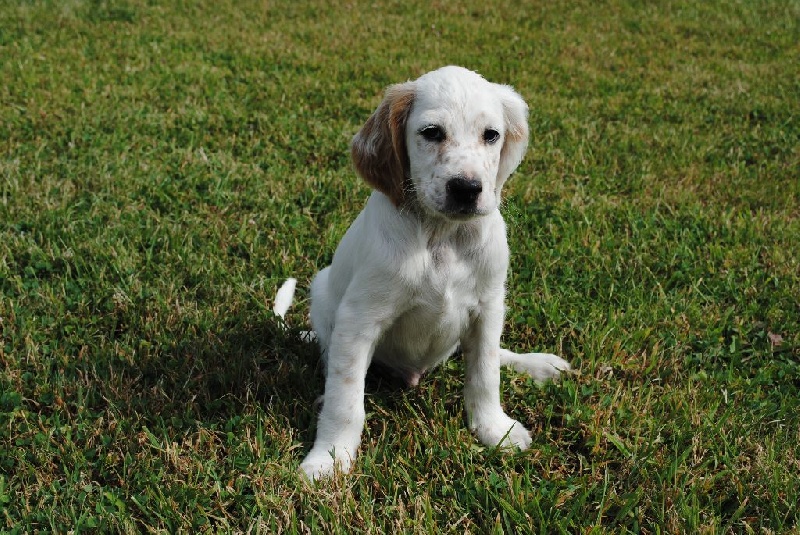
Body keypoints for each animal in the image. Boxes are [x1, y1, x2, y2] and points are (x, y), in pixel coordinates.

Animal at [294, 67, 568, 482]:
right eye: (432, 132)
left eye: (491, 135)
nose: (467, 189)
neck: (443, 235)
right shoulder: (358, 320)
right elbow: (346, 398)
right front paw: (328, 457)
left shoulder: (489, 307)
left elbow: (485, 373)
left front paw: (494, 429)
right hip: (322, 291)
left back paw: (537, 363)